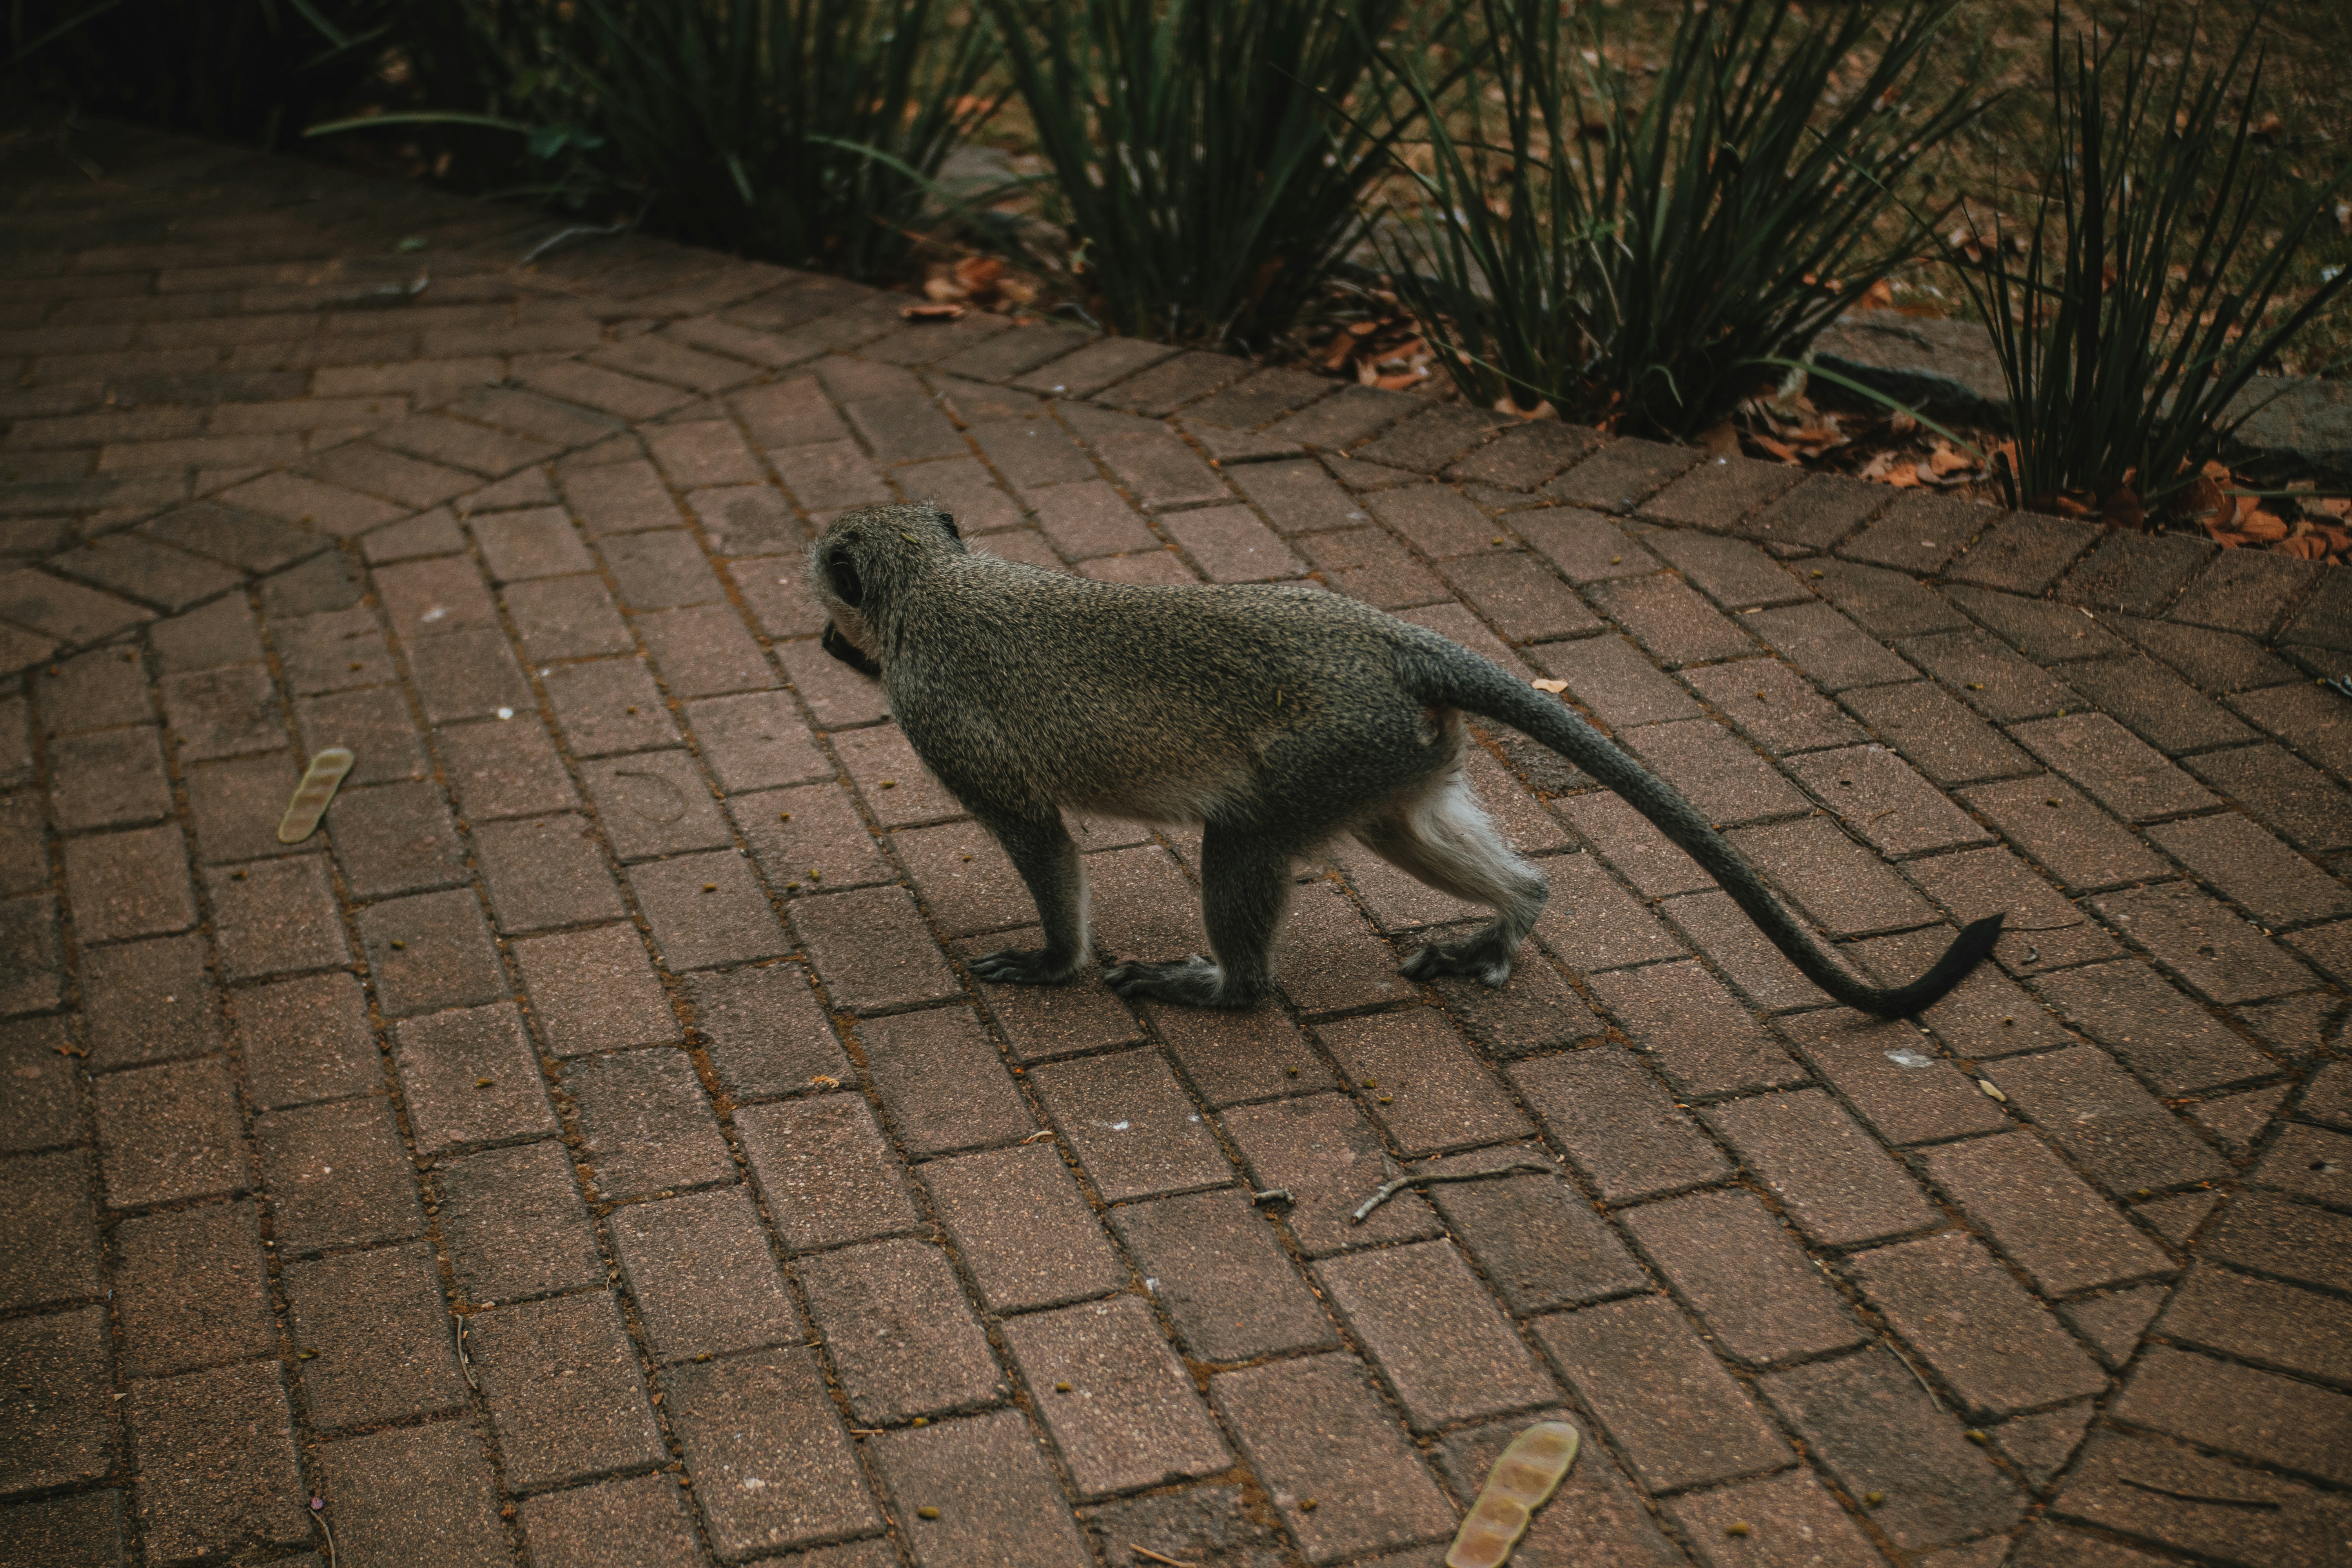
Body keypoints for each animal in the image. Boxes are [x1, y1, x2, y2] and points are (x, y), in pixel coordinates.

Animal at [807, 500, 2003, 1017]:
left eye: (831, 599)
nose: (823, 641)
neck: (931, 587)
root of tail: (1385, 635)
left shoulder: (939, 716)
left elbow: (1039, 839)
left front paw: (1056, 964)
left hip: (1334, 747)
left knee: (1240, 843)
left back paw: (1231, 988)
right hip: (1389, 751)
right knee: (1401, 829)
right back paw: (1513, 912)